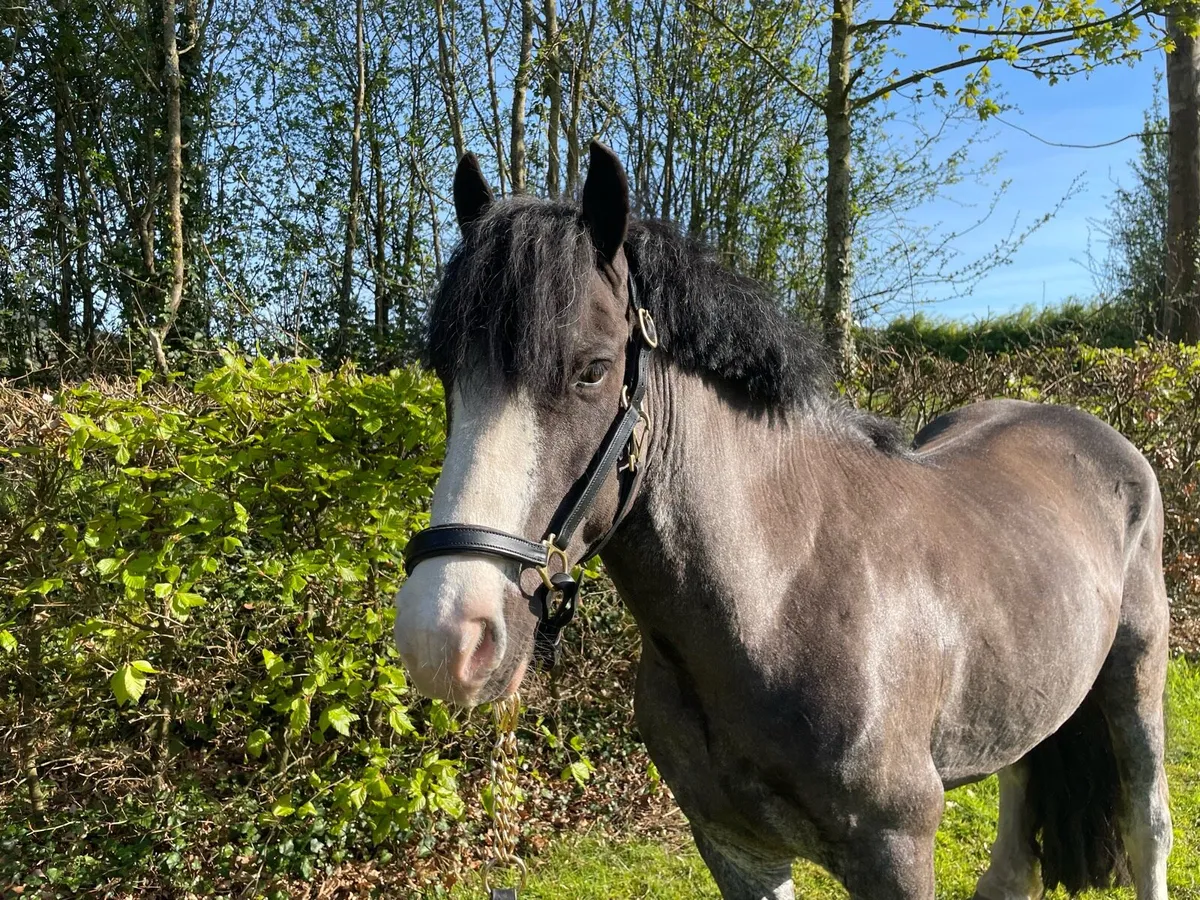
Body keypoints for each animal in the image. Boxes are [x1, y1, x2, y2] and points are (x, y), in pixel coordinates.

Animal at [393, 143, 1172, 900]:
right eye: (447, 374)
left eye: (592, 369)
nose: (444, 638)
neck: (781, 598)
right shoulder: (736, 849)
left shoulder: (896, 851)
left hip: (1137, 681)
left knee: (1149, 828)